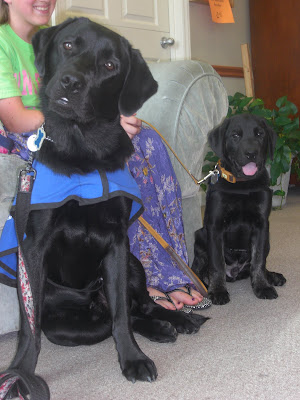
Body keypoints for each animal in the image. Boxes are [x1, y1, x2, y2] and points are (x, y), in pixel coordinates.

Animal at [0, 17, 206, 398]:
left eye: (110, 66)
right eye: (68, 45)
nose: (71, 82)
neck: (85, 150)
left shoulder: (117, 243)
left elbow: (122, 316)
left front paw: (133, 359)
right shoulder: (33, 248)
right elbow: (29, 329)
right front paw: (19, 374)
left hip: (134, 265)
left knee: (139, 306)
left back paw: (175, 319)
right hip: (67, 322)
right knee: (109, 319)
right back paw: (159, 327)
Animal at [192, 114, 286, 304]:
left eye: (260, 134)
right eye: (235, 135)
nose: (251, 153)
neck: (243, 185)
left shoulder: (262, 225)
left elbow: (258, 261)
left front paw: (262, 286)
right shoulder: (215, 226)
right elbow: (217, 263)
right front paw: (218, 291)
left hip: (268, 240)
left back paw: (272, 276)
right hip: (200, 236)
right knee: (199, 269)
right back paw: (202, 284)